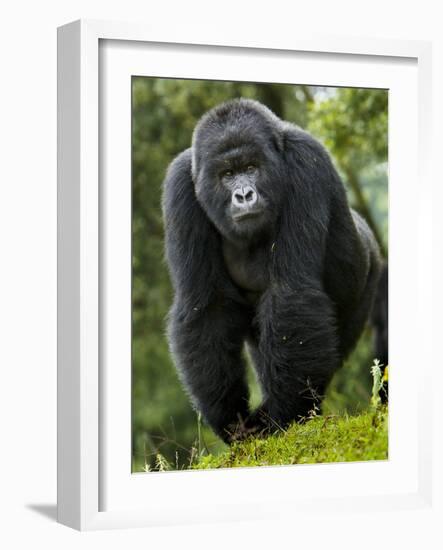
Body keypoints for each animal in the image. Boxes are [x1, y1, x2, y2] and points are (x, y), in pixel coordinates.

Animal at [162, 98, 382, 444]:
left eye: (252, 168)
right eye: (227, 174)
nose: (243, 195)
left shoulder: (306, 161)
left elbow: (292, 294)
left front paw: (281, 417)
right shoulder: (180, 186)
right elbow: (205, 306)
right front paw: (231, 419)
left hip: (371, 280)